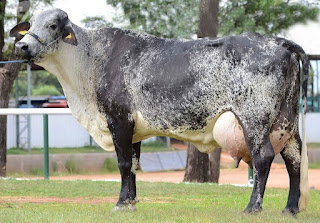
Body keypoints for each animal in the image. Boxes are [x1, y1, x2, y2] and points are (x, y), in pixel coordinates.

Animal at [10, 9, 310, 216]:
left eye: (52, 25)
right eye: (30, 25)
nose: (22, 46)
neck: (90, 61)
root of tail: (277, 42)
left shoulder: (119, 120)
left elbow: (123, 163)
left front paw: (120, 203)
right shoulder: (133, 131)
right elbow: (133, 165)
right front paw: (131, 202)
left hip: (255, 119)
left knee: (263, 158)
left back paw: (252, 208)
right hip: (286, 122)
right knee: (294, 159)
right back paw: (290, 208)